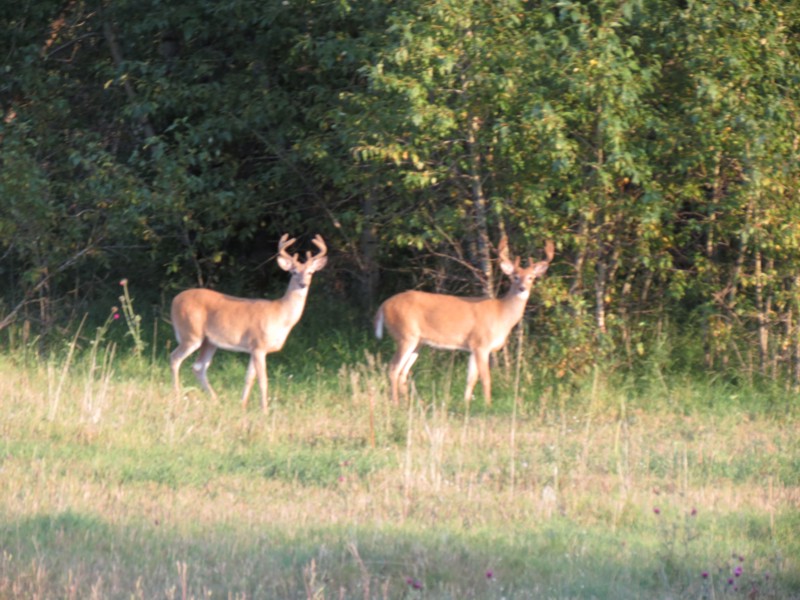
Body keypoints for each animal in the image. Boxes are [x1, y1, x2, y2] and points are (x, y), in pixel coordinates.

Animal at [170, 232, 326, 410]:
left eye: (311, 272)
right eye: (293, 272)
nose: (303, 284)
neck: (281, 315)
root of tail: (174, 300)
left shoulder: (253, 348)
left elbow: (249, 378)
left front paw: (243, 405)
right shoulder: (259, 345)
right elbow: (263, 380)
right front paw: (264, 410)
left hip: (209, 341)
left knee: (198, 367)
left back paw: (215, 400)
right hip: (190, 333)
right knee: (175, 358)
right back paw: (177, 396)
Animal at [374, 234, 552, 408]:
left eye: (531, 278)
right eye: (515, 277)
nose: (522, 288)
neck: (501, 314)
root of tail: (383, 306)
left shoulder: (472, 347)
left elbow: (471, 379)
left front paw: (466, 405)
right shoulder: (481, 344)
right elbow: (486, 378)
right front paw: (488, 406)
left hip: (418, 342)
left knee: (403, 371)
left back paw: (408, 404)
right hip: (405, 335)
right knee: (393, 368)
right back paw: (396, 404)